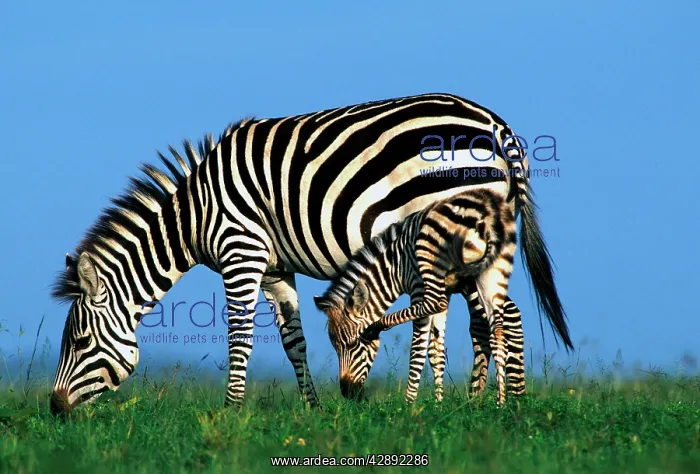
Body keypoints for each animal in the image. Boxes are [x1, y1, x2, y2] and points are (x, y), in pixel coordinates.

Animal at [313, 188, 521, 405]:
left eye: (353, 345)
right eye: (335, 347)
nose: (347, 392)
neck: (394, 266)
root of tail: (488, 214)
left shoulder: (418, 287)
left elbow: (418, 349)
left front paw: (409, 404)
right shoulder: (446, 291)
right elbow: (436, 351)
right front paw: (438, 404)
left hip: (430, 259)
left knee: (437, 303)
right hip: (494, 270)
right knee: (498, 331)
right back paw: (501, 402)